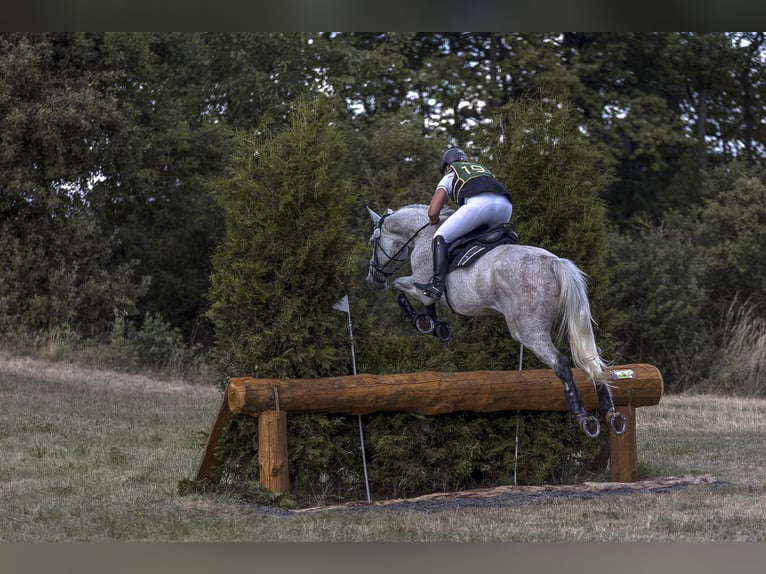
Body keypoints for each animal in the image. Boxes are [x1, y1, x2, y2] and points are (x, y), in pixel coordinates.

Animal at [364, 204, 626, 438]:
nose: (371, 280)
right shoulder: (424, 289)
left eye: (372, 243)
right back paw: (610, 413)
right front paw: (436, 325)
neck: (422, 233)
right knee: (590, 360)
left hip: (527, 331)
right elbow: (420, 298)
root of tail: (553, 262)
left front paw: (422, 321)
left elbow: (399, 287)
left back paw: (583, 418)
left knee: (560, 363)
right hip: (567, 325)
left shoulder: (420, 286)